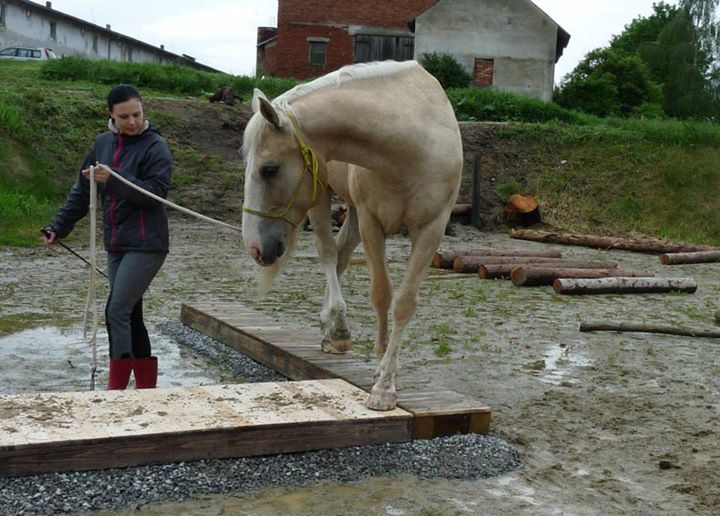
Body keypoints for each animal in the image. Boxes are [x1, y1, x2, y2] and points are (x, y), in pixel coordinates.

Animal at [242, 60, 462, 410]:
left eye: (269, 169)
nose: (255, 248)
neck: (411, 148)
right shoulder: (373, 223)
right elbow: (381, 294)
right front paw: (381, 376)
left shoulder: (431, 229)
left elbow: (404, 302)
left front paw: (386, 381)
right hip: (323, 197)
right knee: (329, 253)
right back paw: (337, 330)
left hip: (353, 214)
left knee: (342, 256)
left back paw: (335, 332)